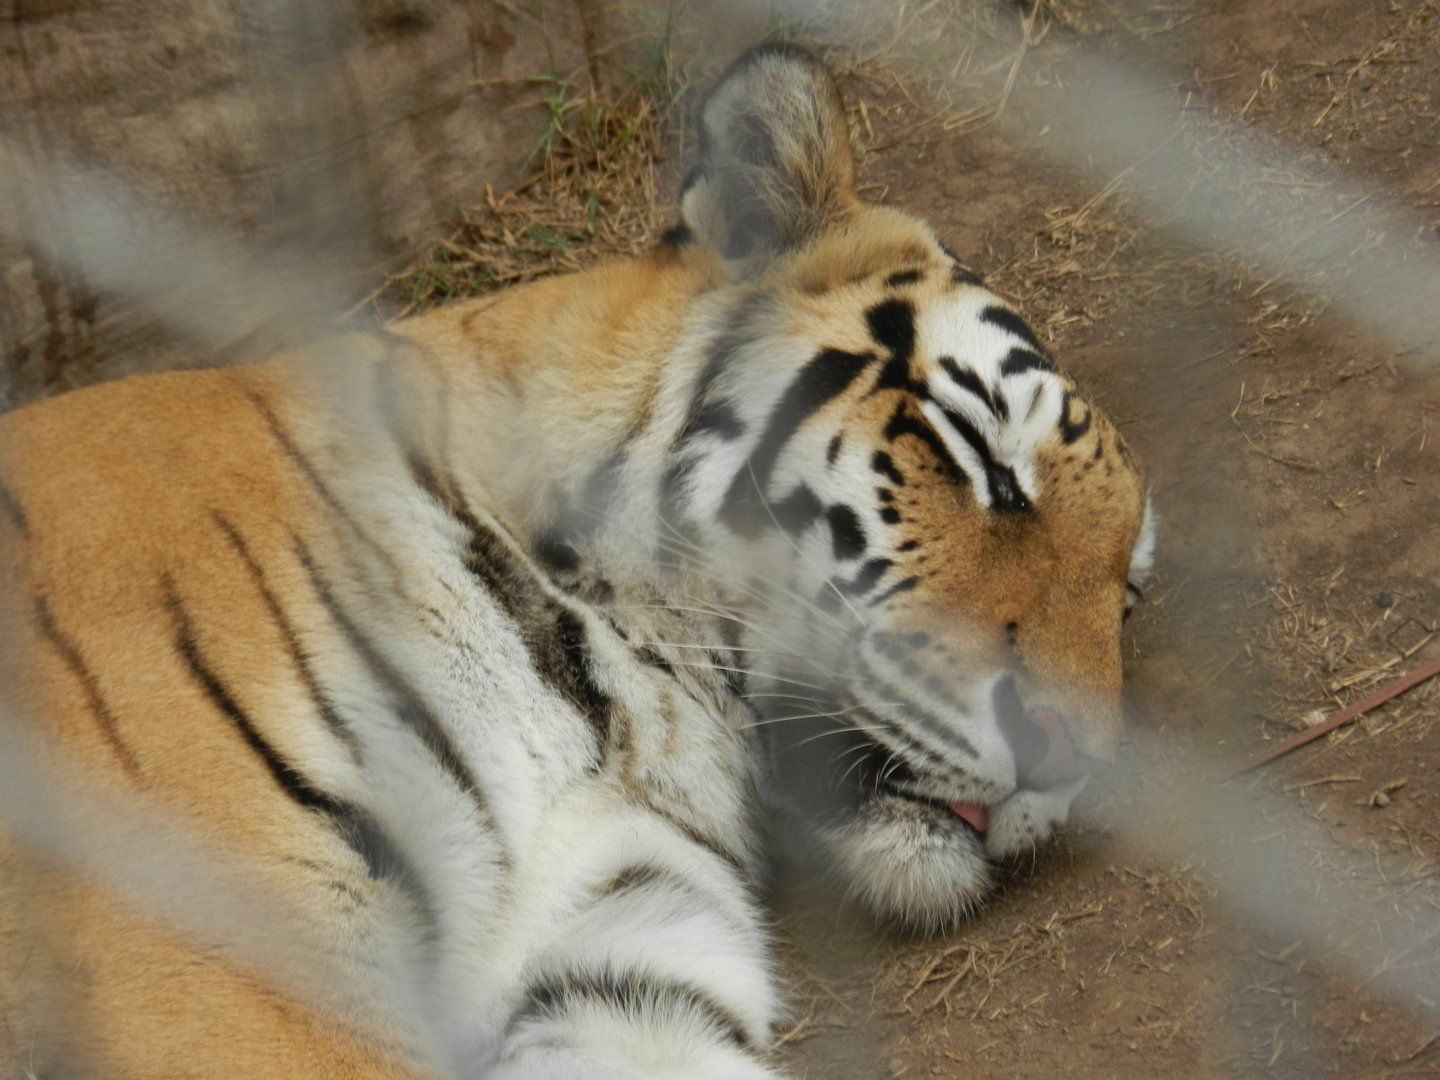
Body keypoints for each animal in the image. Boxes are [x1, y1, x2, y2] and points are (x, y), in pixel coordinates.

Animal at [0, 44, 1153, 1080]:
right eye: (992, 468)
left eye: (1127, 598)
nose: (1071, 762)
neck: (637, 708)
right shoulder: (215, 946)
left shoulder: (612, 946)